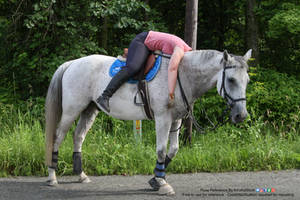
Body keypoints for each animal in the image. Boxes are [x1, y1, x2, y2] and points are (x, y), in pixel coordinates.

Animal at [44, 49, 251, 195]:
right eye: (231, 80)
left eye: (247, 80)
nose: (241, 116)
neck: (181, 74)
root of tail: (72, 63)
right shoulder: (162, 118)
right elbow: (161, 150)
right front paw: (162, 183)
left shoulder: (176, 120)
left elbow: (173, 150)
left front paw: (155, 179)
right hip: (71, 110)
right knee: (57, 137)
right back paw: (52, 176)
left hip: (89, 110)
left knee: (78, 137)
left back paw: (81, 175)